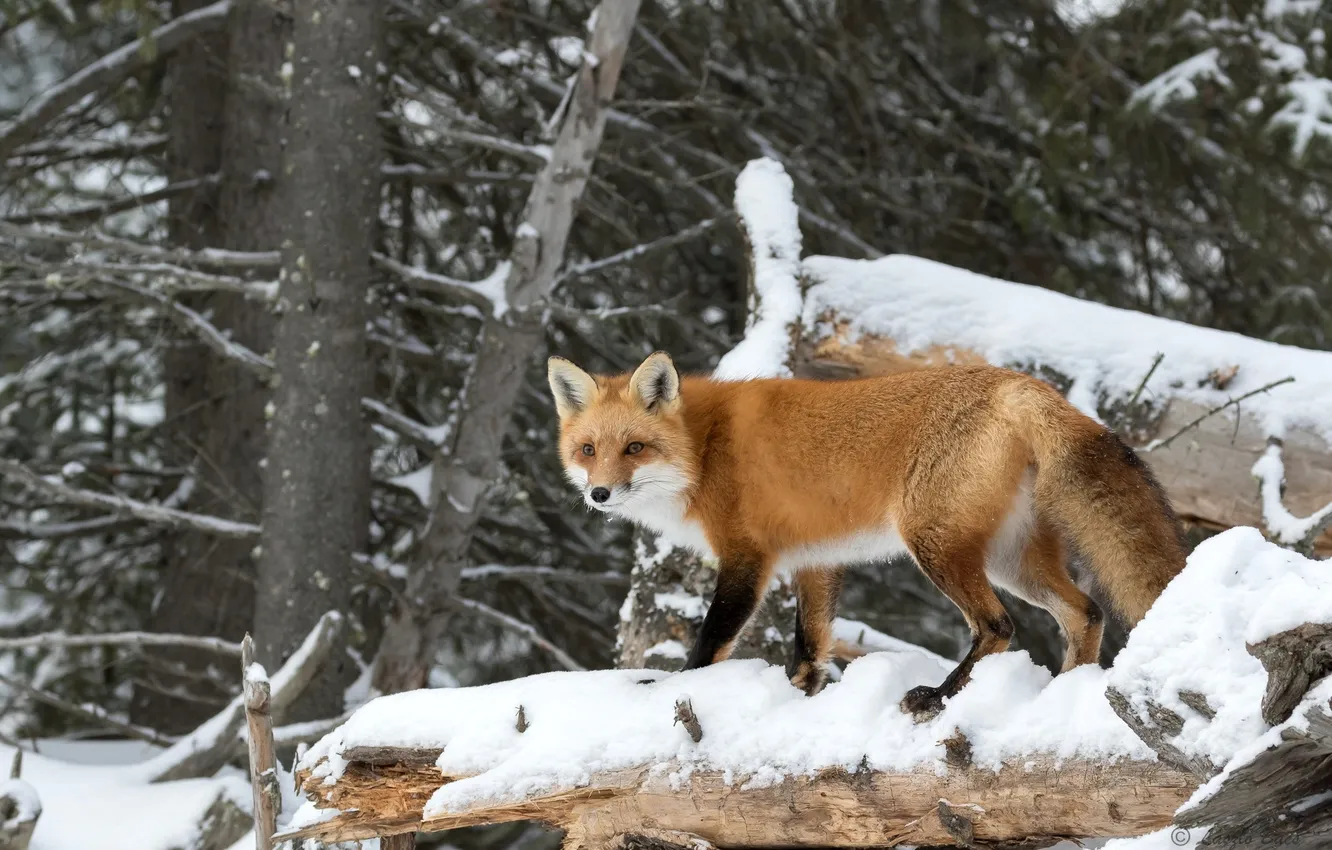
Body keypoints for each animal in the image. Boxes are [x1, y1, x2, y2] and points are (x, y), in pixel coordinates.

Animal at [547, 350, 1188, 716]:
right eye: (588, 450)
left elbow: (709, 642)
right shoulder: (813, 560)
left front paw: (669, 690)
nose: (599, 495)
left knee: (998, 625)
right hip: (1012, 559)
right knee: (1085, 613)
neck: (706, 449)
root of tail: (1019, 384)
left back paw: (940, 695)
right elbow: (810, 648)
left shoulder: (747, 558)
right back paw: (1063, 694)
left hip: (935, 544)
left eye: (635, 448)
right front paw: (799, 701)